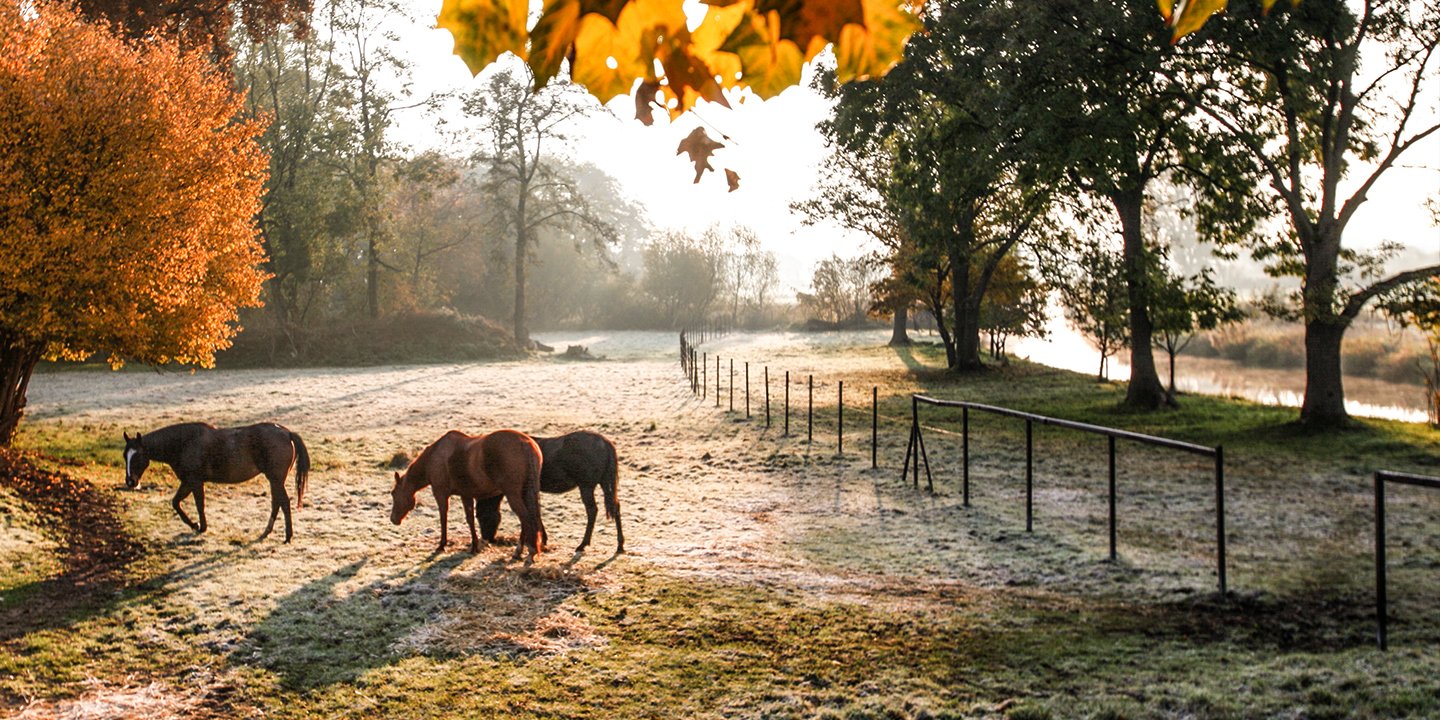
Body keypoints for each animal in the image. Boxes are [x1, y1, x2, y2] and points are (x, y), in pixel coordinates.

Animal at [123, 422, 311, 543]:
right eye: (125, 456)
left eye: (138, 456)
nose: (131, 481)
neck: (184, 443)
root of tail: (287, 433)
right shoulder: (188, 482)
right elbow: (176, 503)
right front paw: (195, 525)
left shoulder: (194, 481)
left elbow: (198, 505)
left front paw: (200, 526)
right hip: (274, 480)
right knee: (277, 503)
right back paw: (267, 532)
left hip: (276, 479)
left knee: (283, 503)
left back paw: (287, 536)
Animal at [389, 429, 544, 562]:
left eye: (393, 494)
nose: (393, 519)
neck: (434, 457)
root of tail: (525, 444)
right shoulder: (466, 495)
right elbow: (470, 519)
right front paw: (474, 546)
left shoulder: (441, 494)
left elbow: (443, 518)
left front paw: (442, 545)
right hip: (525, 493)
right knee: (527, 520)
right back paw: (520, 552)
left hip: (513, 495)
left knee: (526, 519)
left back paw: (529, 552)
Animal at [473, 430, 623, 554]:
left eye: (480, 516)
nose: (487, 539)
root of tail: (605, 443)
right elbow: (536, 512)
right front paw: (543, 539)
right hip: (605, 483)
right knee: (615, 507)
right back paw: (620, 545)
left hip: (586, 486)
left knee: (592, 511)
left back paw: (583, 544)